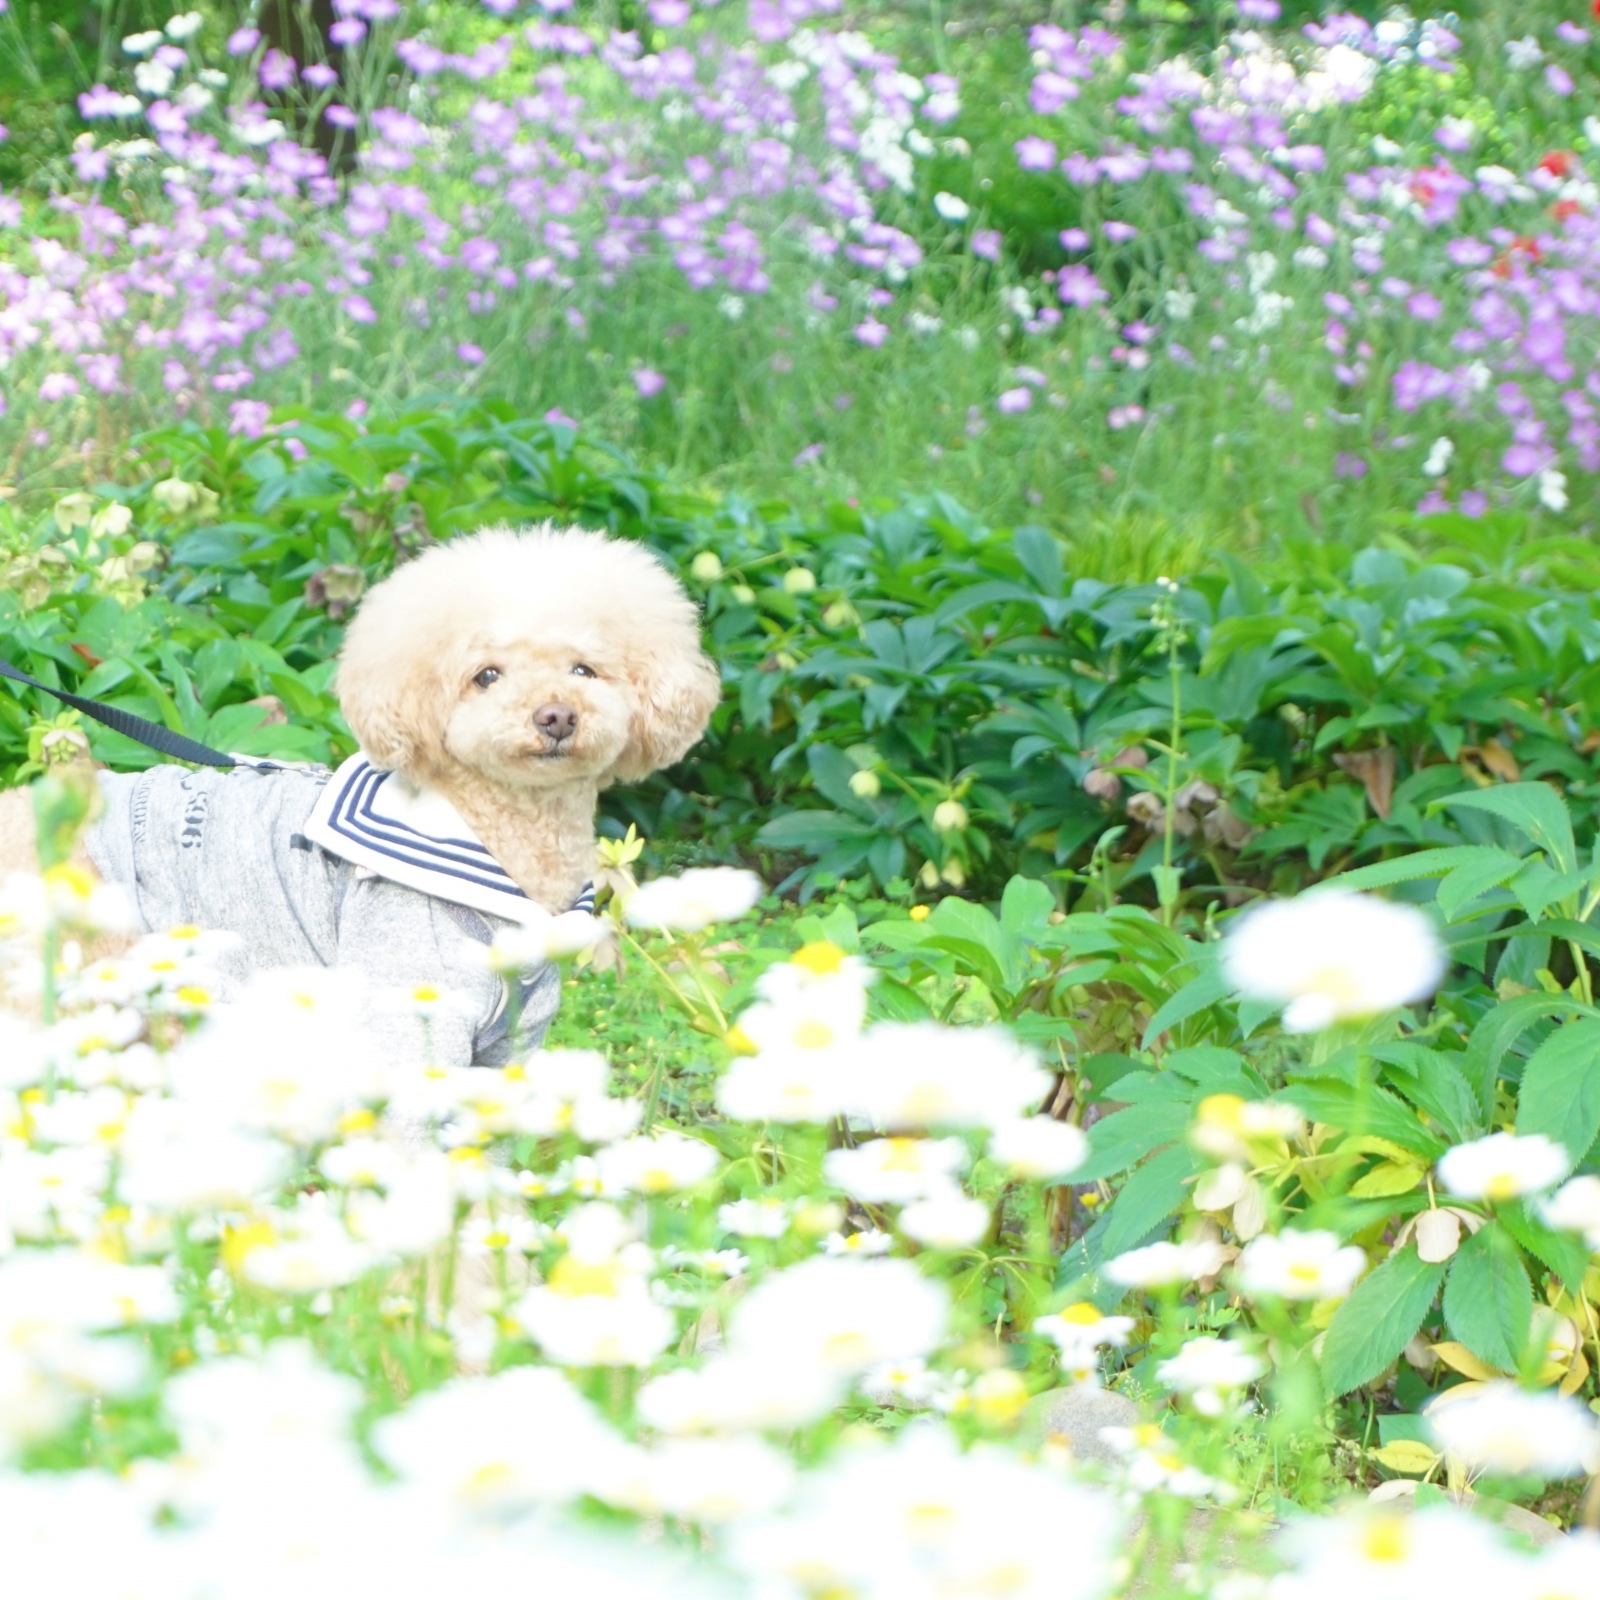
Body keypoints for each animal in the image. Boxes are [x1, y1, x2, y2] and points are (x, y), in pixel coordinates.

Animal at [0, 525, 720, 1068]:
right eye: (486, 676)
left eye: (584, 669)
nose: (556, 716)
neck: (502, 838)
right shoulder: (413, 1014)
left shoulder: (514, 1035)